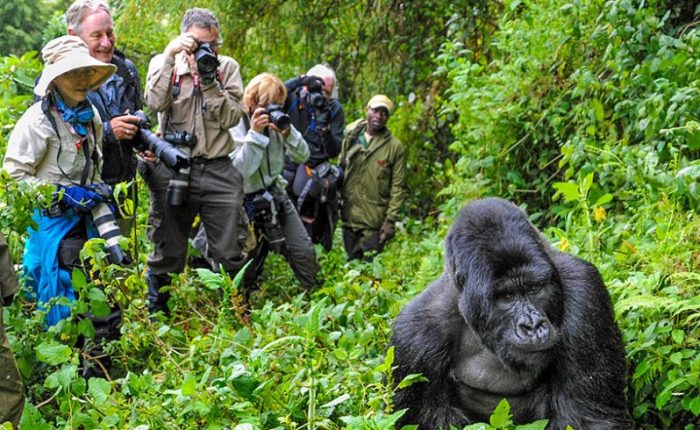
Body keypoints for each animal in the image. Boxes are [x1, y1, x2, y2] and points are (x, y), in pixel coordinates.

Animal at [388, 199, 636, 430]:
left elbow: (589, 417)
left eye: (535, 288)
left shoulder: (585, 291)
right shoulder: (414, 339)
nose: (533, 326)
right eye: (507, 296)